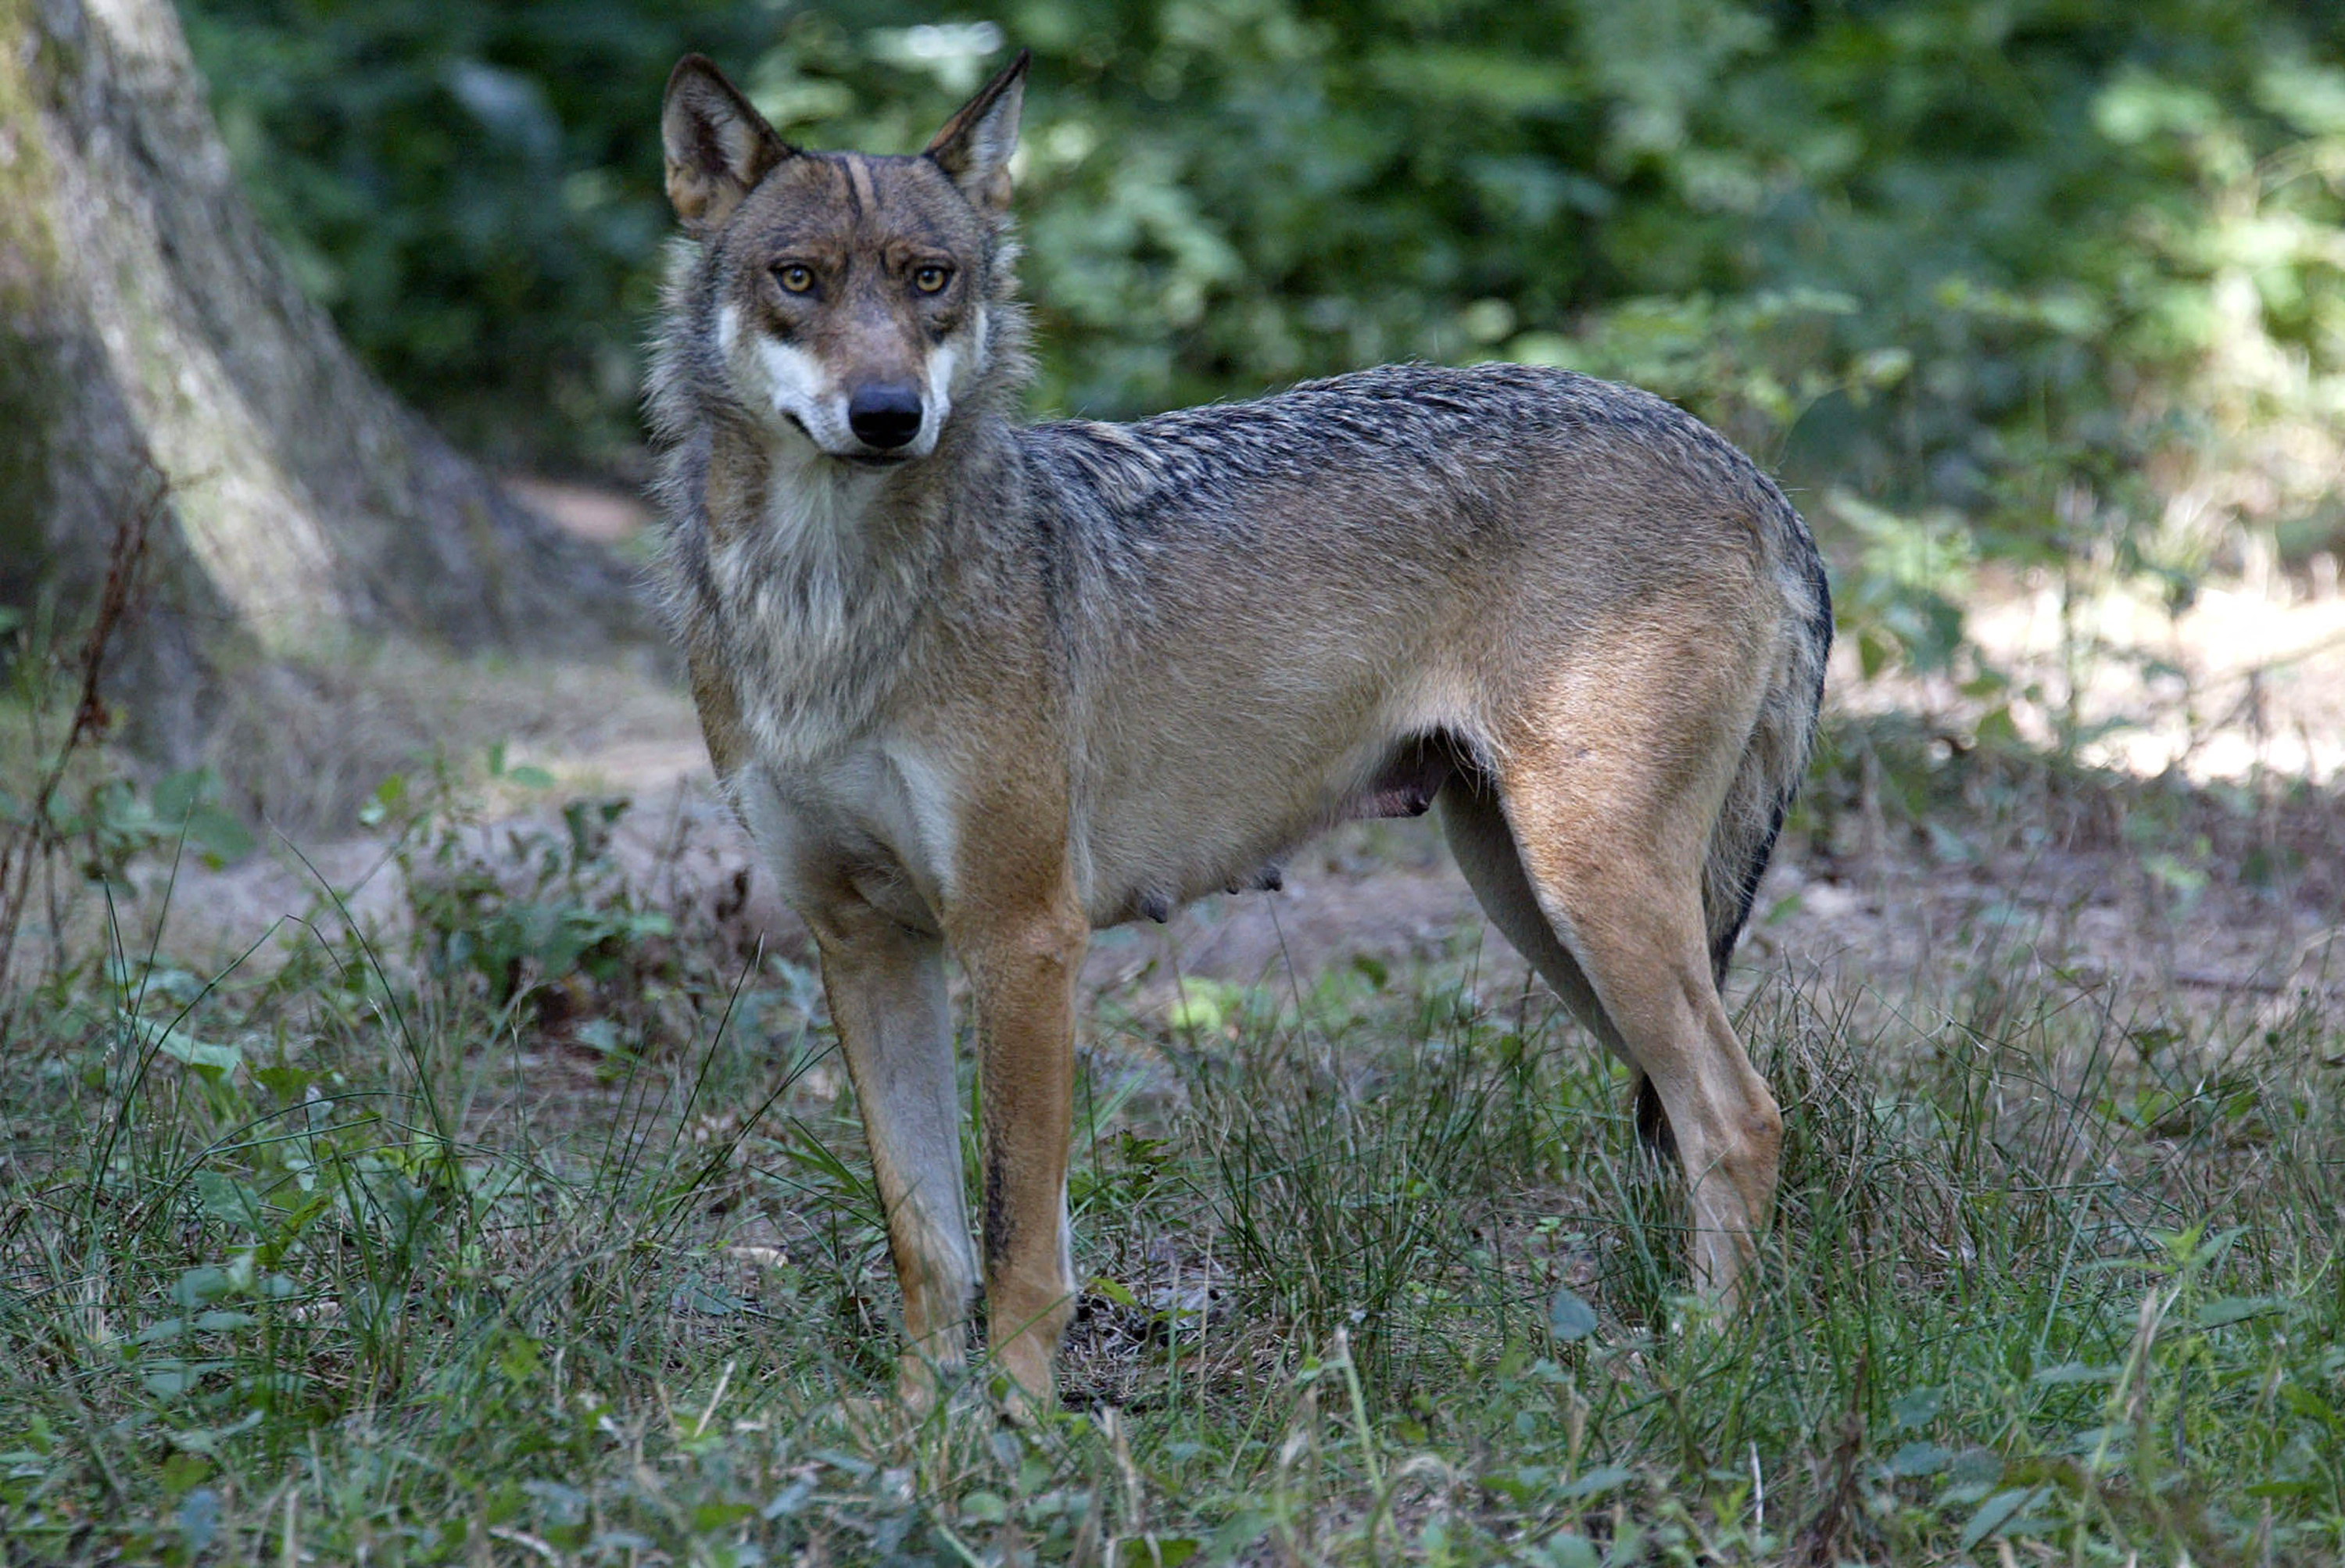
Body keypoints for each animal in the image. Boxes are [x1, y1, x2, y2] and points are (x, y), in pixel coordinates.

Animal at [647, 55, 1829, 1416]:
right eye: (800, 278)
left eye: (928, 279)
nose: (889, 414)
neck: (826, 601)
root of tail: (1750, 471)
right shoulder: (864, 941)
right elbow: (926, 1239)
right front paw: (913, 1428)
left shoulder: (1023, 938)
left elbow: (1017, 1243)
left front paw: (1016, 1428)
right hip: (1544, 912)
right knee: (1701, 1120)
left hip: (1593, 897)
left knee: (1743, 1116)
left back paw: (1705, 1366)